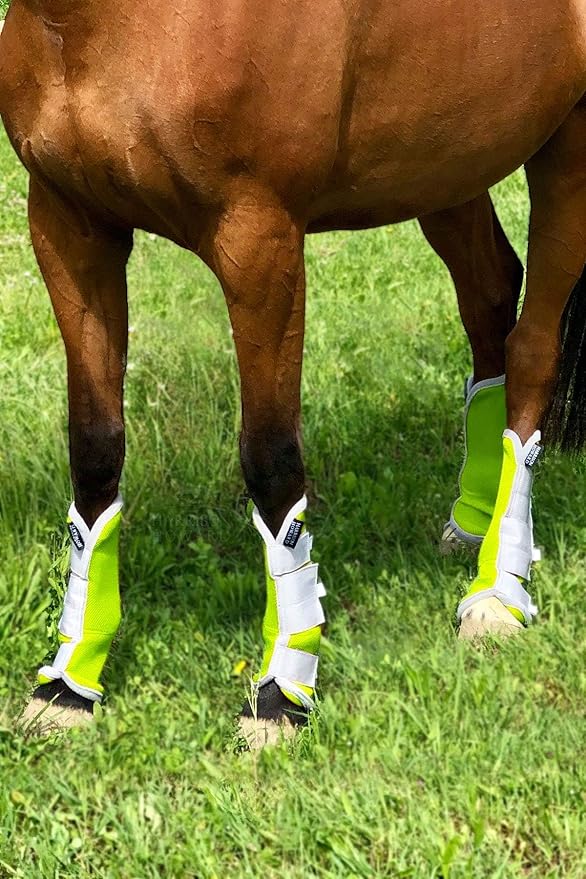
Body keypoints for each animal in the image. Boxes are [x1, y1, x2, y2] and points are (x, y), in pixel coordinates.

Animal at [0, 0, 584, 746]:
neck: (93, 26)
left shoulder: (259, 241)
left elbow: (272, 460)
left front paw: (282, 691)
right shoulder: (67, 226)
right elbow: (94, 450)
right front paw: (70, 681)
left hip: (567, 152)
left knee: (532, 348)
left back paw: (498, 594)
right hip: (448, 163)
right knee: (490, 304)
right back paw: (474, 523)